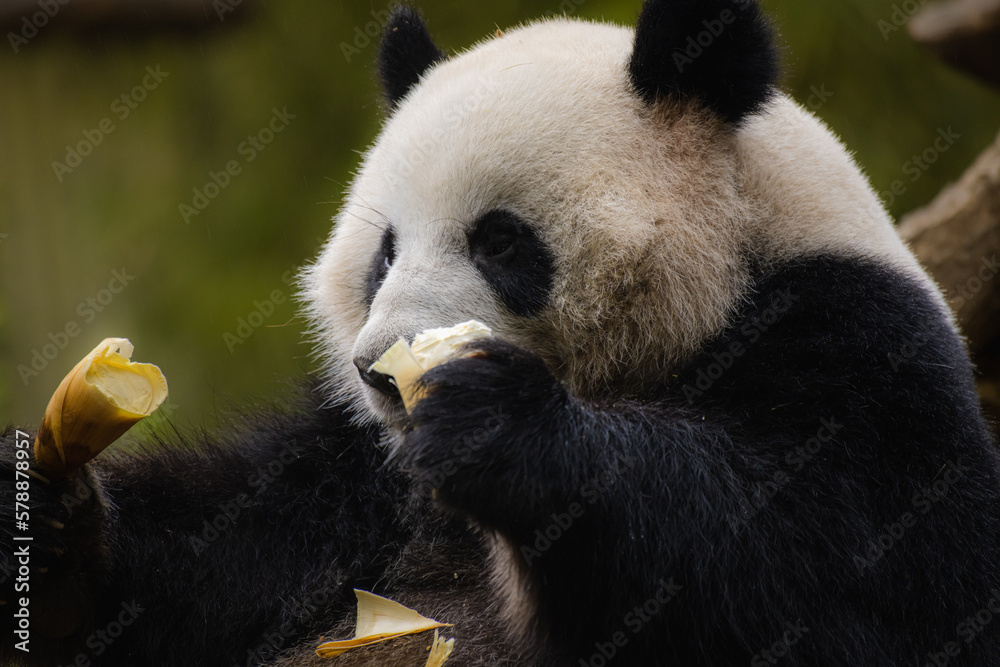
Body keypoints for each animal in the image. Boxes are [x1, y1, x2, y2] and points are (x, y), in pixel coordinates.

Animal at [4, 0, 1000, 665]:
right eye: (384, 251)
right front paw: (56, 528)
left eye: (500, 240)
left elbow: (851, 587)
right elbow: (217, 543)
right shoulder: (357, 474)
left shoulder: (859, 350)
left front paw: (499, 429)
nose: (378, 374)